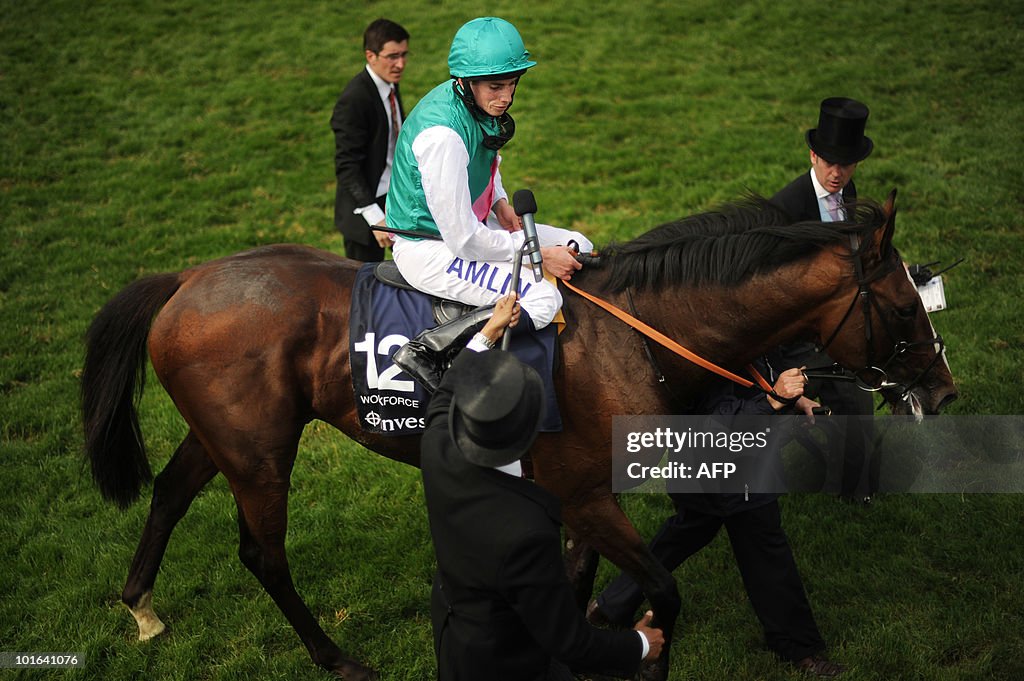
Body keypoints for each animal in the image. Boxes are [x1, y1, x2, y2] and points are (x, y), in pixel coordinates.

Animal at [83, 189, 954, 675]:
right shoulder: (585, 494)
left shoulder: (571, 500)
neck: (637, 334)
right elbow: (660, 589)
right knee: (263, 553)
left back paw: (141, 605)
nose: (944, 389)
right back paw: (336, 657)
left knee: (169, 490)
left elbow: (571, 590)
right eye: (903, 306)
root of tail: (187, 277)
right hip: (262, 451)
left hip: (228, 437)